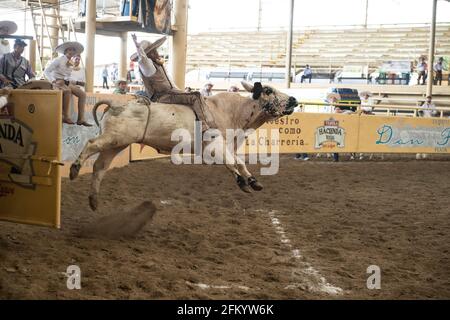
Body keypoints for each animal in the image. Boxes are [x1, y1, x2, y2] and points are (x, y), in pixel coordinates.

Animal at [70, 82, 298, 210]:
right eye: (268, 90)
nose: (294, 99)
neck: (232, 111)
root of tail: (116, 103)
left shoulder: (227, 147)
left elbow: (239, 162)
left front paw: (252, 181)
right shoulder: (213, 148)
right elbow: (232, 163)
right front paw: (242, 181)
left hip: (117, 143)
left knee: (100, 166)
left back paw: (94, 201)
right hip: (114, 138)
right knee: (90, 144)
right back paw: (74, 169)